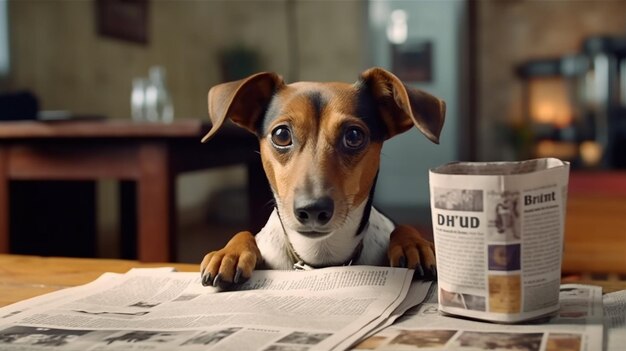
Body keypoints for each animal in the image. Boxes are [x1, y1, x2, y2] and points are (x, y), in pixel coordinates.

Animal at [200, 66, 444, 288]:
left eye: (354, 136)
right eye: (281, 135)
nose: (312, 209)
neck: (320, 255)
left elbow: (403, 227)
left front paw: (414, 245)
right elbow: (244, 232)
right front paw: (228, 254)